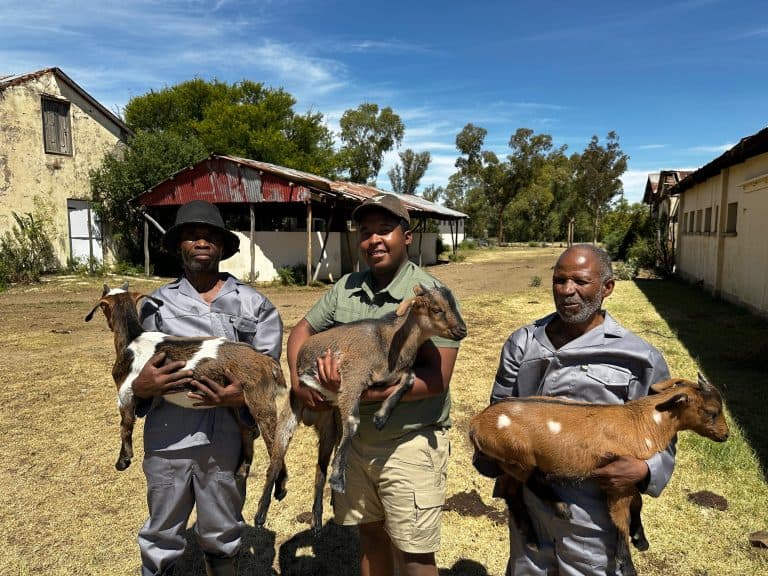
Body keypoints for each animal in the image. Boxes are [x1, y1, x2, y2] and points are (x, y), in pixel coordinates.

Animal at [84, 284, 288, 500]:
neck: (133, 339)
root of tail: (267, 361)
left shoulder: (125, 391)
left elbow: (125, 425)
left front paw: (123, 460)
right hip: (235, 401)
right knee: (247, 430)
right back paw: (242, 470)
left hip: (260, 398)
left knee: (275, 443)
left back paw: (280, 488)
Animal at [468, 374, 732, 576]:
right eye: (712, 411)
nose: (726, 435)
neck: (643, 422)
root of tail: (477, 423)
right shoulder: (617, 482)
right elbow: (620, 519)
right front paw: (628, 565)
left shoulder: (629, 477)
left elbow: (638, 502)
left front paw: (641, 538)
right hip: (517, 454)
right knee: (531, 480)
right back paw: (561, 508)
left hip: (507, 461)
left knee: (510, 491)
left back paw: (532, 536)